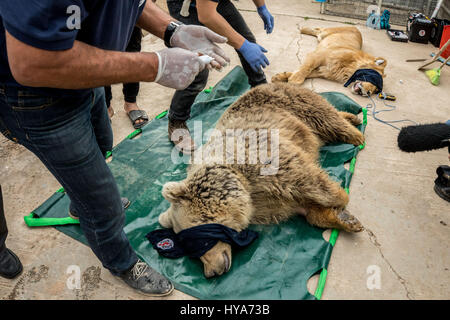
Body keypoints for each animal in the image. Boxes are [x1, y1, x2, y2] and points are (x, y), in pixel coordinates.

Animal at [158, 82, 366, 278]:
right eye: (191, 252)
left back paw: (357, 133)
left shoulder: (264, 159)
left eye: (200, 241)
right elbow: (306, 209)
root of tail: (266, 84)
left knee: (327, 118)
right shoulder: (267, 202)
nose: (211, 272)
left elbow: (306, 177)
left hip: (295, 105)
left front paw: (341, 199)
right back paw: (351, 116)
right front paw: (345, 219)